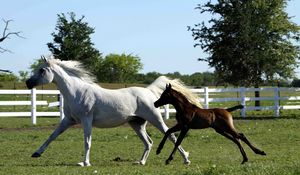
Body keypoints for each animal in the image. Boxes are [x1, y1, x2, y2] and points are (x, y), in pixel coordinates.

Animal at [25, 56, 198, 167]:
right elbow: (52, 136)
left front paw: (85, 162)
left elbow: (87, 141)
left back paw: (186, 160)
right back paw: (140, 162)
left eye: (42, 70)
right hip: (137, 124)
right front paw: (36, 153)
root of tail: (148, 91)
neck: (76, 92)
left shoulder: (86, 120)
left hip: (155, 119)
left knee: (172, 136)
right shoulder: (68, 120)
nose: (28, 83)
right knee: (148, 142)